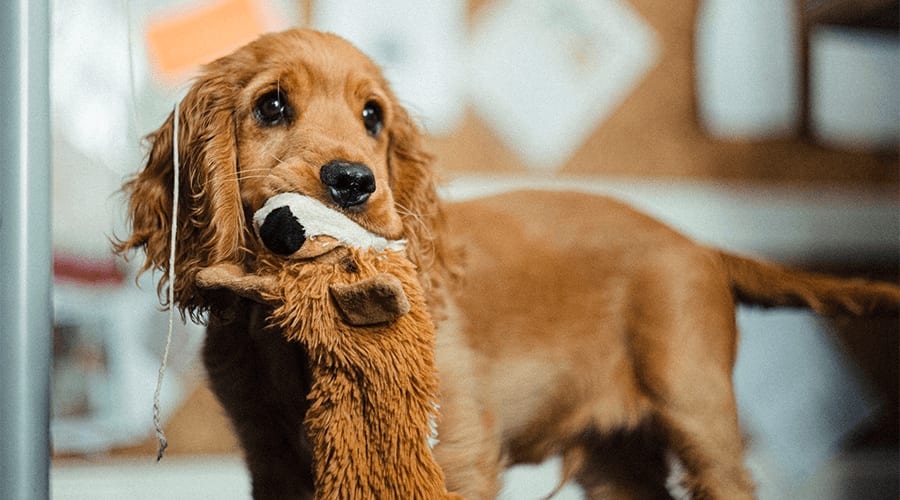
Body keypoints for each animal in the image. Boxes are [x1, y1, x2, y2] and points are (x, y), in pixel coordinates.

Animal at [116, 29, 896, 498]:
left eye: (373, 117)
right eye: (271, 106)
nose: (354, 183)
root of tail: (696, 244)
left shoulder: (454, 451)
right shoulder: (270, 458)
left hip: (696, 406)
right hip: (617, 454)